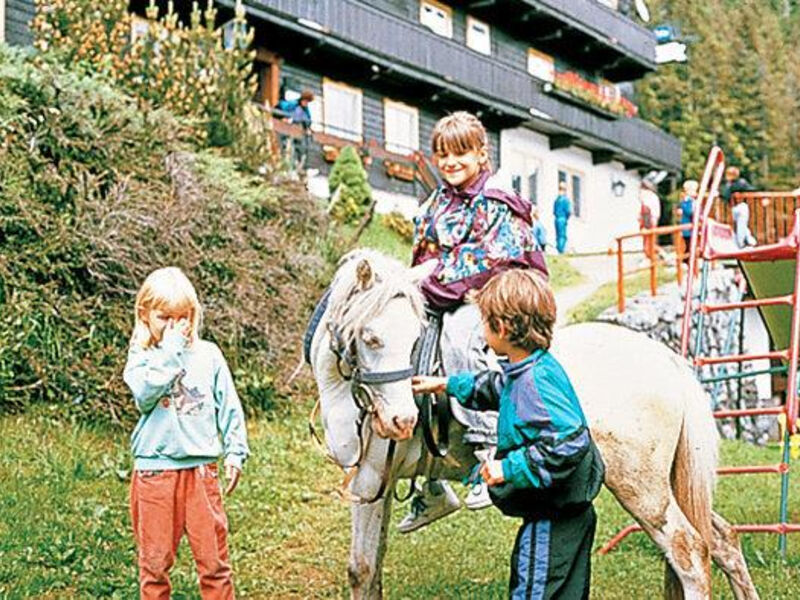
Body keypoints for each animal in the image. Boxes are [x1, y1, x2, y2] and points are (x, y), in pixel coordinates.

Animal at [310, 250, 760, 600]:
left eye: (413, 338)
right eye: (371, 338)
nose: (402, 420)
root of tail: (667, 360)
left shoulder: (367, 481)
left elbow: (362, 570)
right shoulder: (381, 485)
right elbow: (373, 567)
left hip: (642, 488)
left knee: (690, 551)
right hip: (671, 485)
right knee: (722, 539)